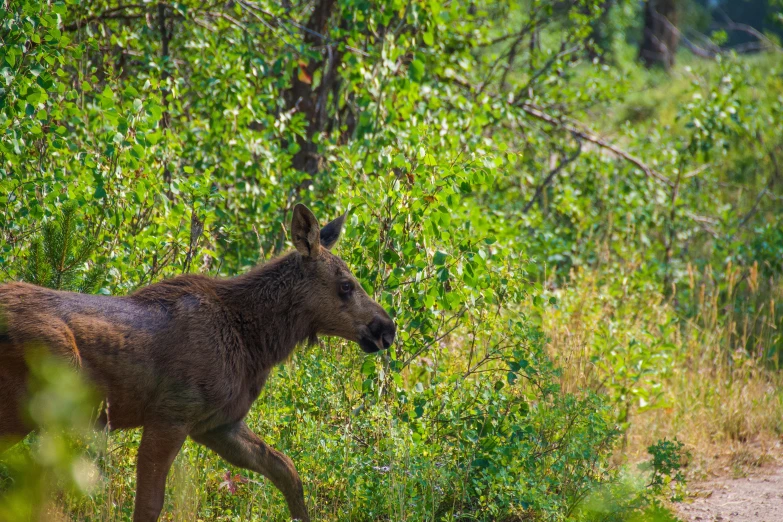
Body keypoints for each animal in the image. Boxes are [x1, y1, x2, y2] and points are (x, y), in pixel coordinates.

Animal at [0, 203, 392, 520]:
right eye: (346, 284)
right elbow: (149, 506)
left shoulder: (217, 425)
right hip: (37, 403)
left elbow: (287, 470)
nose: (387, 327)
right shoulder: (171, 415)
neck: (255, 345)